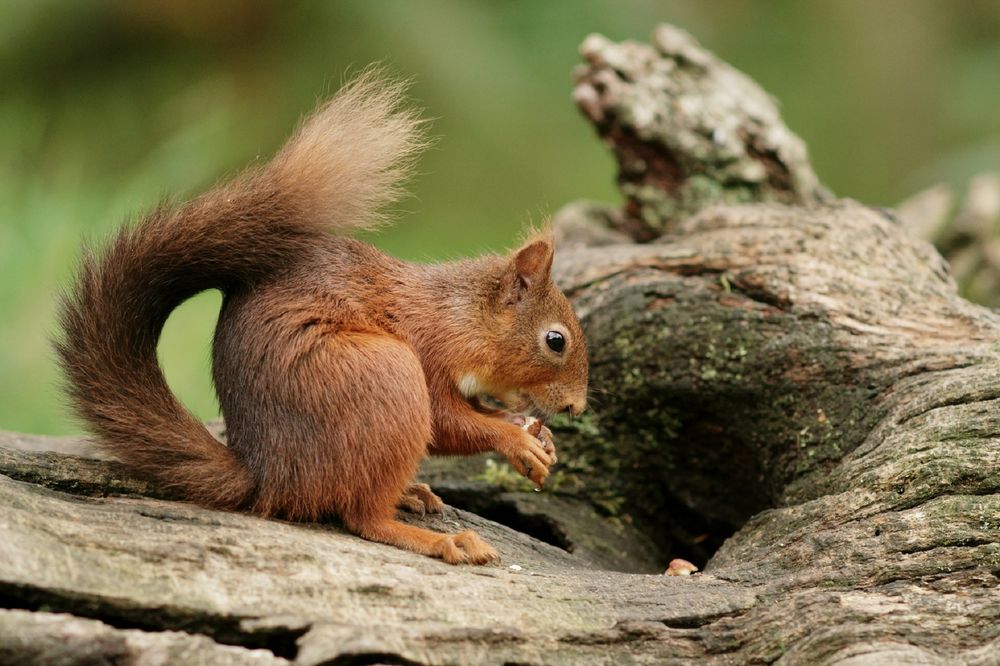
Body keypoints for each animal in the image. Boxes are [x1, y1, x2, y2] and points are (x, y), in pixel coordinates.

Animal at [54, 70, 589, 565]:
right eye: (555, 340)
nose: (576, 408)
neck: (461, 315)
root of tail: (271, 478)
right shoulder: (429, 350)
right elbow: (447, 422)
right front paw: (516, 440)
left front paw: (537, 435)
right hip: (387, 378)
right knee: (362, 517)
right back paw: (442, 540)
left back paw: (412, 495)